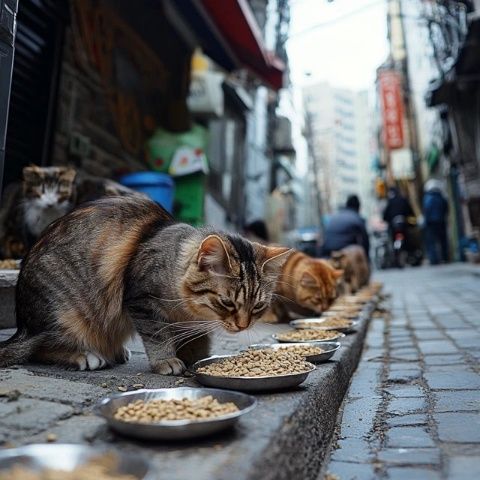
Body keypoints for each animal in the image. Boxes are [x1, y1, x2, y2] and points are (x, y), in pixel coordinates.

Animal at [0, 196, 290, 376]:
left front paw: (195, 357)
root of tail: (23, 325)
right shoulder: (142, 301)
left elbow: (198, 341)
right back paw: (85, 356)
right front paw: (167, 361)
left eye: (257, 307)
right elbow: (158, 336)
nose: (242, 326)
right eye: (227, 302)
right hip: (67, 315)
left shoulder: (190, 324)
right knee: (40, 348)